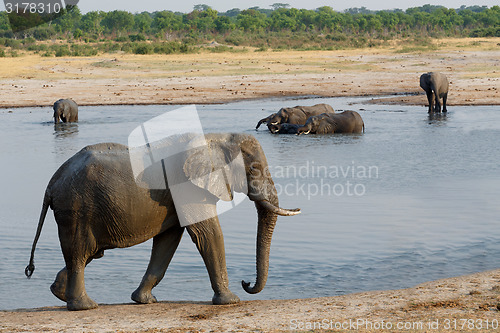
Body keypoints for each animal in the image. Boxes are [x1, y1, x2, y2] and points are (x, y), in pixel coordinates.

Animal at [25, 134, 300, 310]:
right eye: (253, 169)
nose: (246, 282)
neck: (216, 138)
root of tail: (52, 183)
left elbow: (168, 241)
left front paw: (144, 301)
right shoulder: (188, 187)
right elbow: (208, 233)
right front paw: (231, 301)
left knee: (86, 253)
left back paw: (59, 293)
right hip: (77, 208)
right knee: (80, 252)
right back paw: (85, 306)